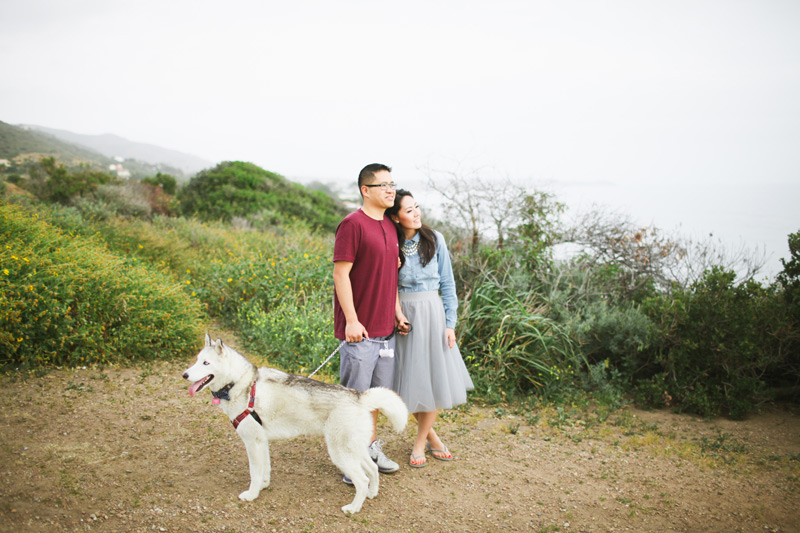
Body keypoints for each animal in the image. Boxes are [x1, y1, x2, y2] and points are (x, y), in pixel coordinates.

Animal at [181, 334, 406, 512]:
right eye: (197, 360)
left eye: (206, 363)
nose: (184, 374)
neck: (240, 383)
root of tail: (359, 396)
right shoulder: (261, 441)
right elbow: (265, 470)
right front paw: (263, 486)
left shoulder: (252, 442)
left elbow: (254, 472)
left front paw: (251, 494)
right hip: (355, 450)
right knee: (373, 470)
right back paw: (371, 494)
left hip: (340, 453)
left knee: (362, 479)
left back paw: (353, 508)